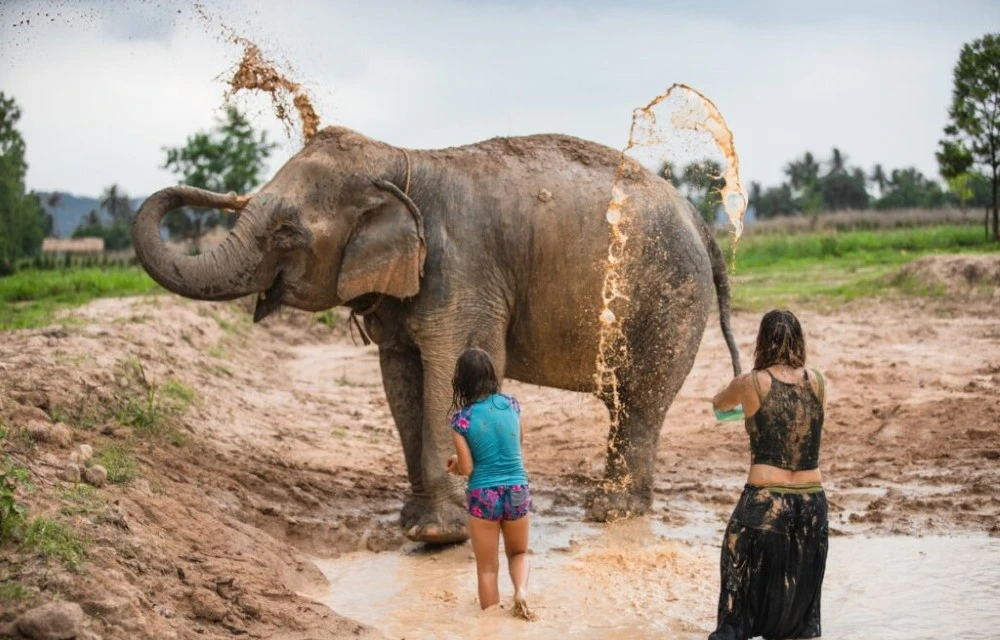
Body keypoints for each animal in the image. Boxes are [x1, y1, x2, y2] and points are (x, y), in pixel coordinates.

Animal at [132, 126, 742, 544]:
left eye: (287, 232)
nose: (212, 195)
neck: (399, 160)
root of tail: (698, 218)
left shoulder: (463, 268)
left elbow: (454, 363)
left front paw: (439, 535)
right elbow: (401, 375)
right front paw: (418, 521)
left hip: (668, 295)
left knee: (640, 397)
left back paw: (610, 511)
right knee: (626, 399)